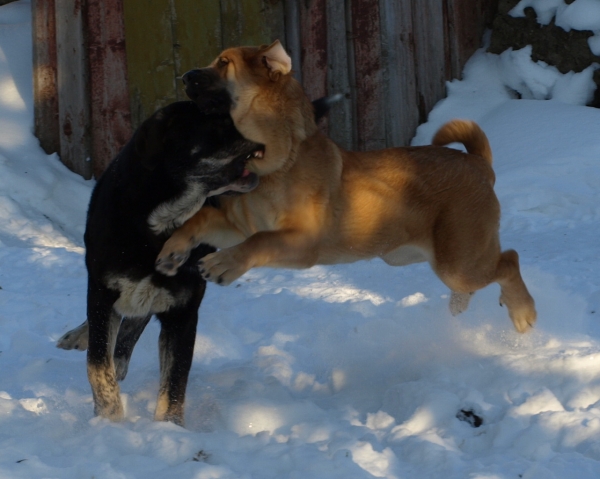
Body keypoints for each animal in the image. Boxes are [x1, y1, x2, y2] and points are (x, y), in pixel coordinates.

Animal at [58, 73, 340, 426]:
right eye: (217, 121)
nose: (272, 127)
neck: (158, 222)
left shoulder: (183, 312)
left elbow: (174, 382)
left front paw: (168, 429)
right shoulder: (101, 290)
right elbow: (97, 364)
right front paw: (110, 420)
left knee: (133, 322)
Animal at [154, 41, 536, 334]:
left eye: (223, 63)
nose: (185, 76)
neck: (278, 161)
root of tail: (479, 164)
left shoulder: (301, 240)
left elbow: (258, 242)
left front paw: (223, 264)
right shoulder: (238, 226)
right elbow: (201, 220)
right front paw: (173, 250)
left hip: (459, 260)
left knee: (509, 261)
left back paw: (522, 313)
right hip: (425, 257)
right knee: (489, 272)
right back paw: (460, 306)